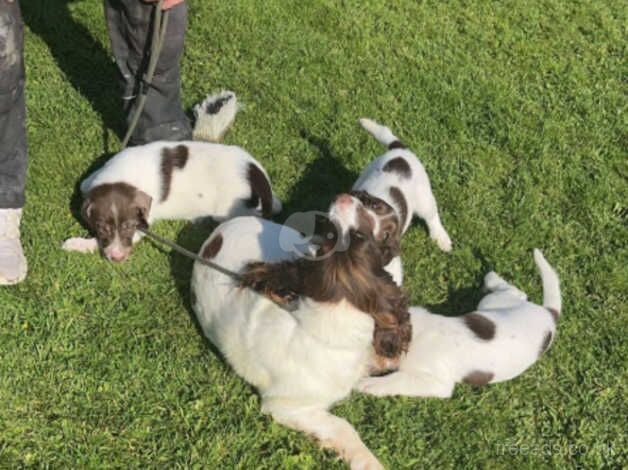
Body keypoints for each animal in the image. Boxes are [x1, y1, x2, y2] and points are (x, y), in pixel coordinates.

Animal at [194, 193, 412, 468]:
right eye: (356, 236)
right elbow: (343, 426)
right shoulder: (285, 406)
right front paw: (368, 461)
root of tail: (219, 232)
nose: (349, 196)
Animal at [356, 250, 560, 396]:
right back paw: (491, 277)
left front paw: (367, 384)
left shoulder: (436, 383)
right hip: (493, 304)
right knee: (517, 292)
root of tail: (548, 313)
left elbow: (397, 380)